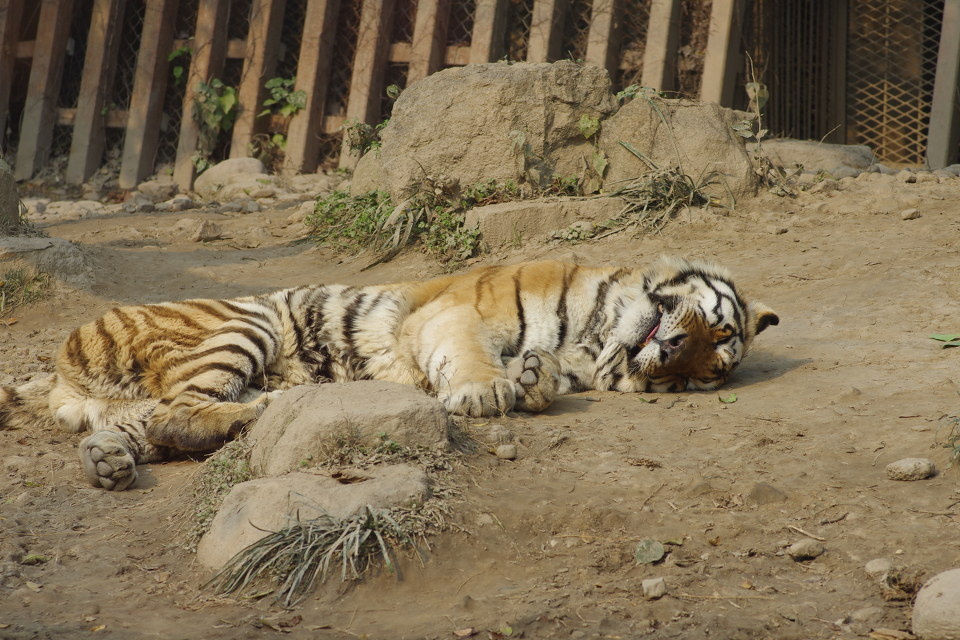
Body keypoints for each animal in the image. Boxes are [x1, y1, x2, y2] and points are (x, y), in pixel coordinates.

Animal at [0, 258, 777, 491]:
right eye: (716, 330)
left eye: (697, 377)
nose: (672, 357)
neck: (598, 338)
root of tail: (61, 368)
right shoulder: (453, 313)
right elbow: (471, 357)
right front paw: (490, 389)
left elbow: (542, 375)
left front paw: (532, 380)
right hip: (240, 323)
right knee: (180, 409)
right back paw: (273, 406)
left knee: (150, 423)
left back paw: (108, 461)